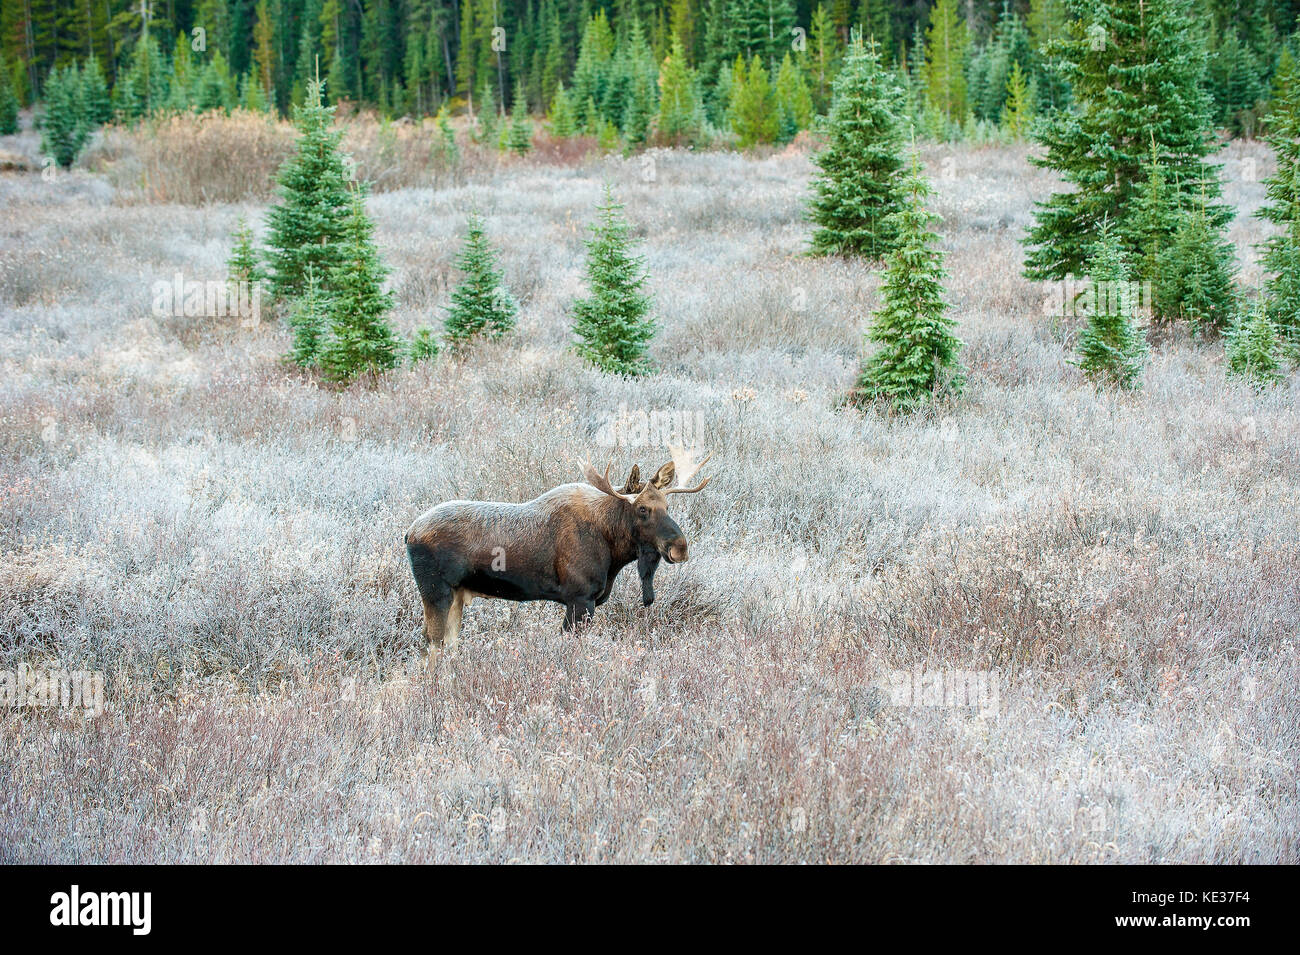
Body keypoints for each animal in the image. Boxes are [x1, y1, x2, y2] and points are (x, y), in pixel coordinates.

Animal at [405, 449, 712, 670]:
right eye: (643, 509)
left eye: (667, 506)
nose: (679, 547)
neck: (612, 545)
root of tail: (408, 534)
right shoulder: (579, 599)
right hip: (436, 593)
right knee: (431, 644)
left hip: (456, 596)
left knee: (448, 644)